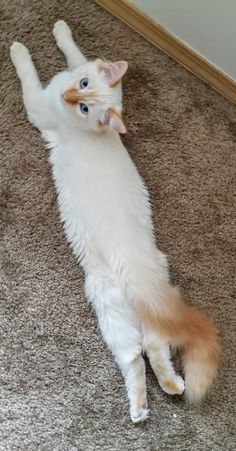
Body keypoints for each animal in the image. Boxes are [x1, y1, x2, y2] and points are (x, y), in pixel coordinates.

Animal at [10, 21, 220, 424]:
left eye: (84, 106)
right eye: (84, 85)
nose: (69, 95)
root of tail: (140, 276)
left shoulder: (37, 105)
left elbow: (28, 72)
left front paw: (19, 48)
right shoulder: (77, 71)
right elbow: (74, 52)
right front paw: (62, 31)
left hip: (106, 308)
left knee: (136, 358)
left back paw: (143, 406)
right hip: (123, 316)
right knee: (151, 351)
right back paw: (168, 389)